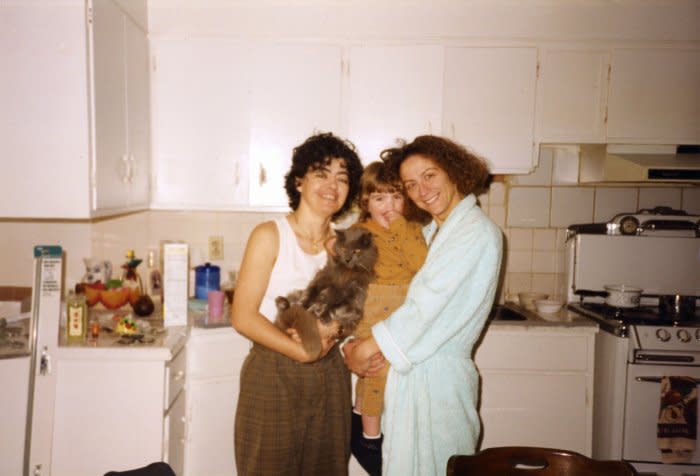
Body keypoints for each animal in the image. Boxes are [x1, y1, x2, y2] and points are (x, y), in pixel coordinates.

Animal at [276, 226, 380, 356]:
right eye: (343, 248)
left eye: (356, 251)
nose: (347, 259)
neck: (345, 272)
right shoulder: (321, 278)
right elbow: (310, 293)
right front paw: (305, 305)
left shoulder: (354, 300)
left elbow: (334, 306)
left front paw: (322, 314)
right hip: (295, 294)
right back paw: (283, 302)